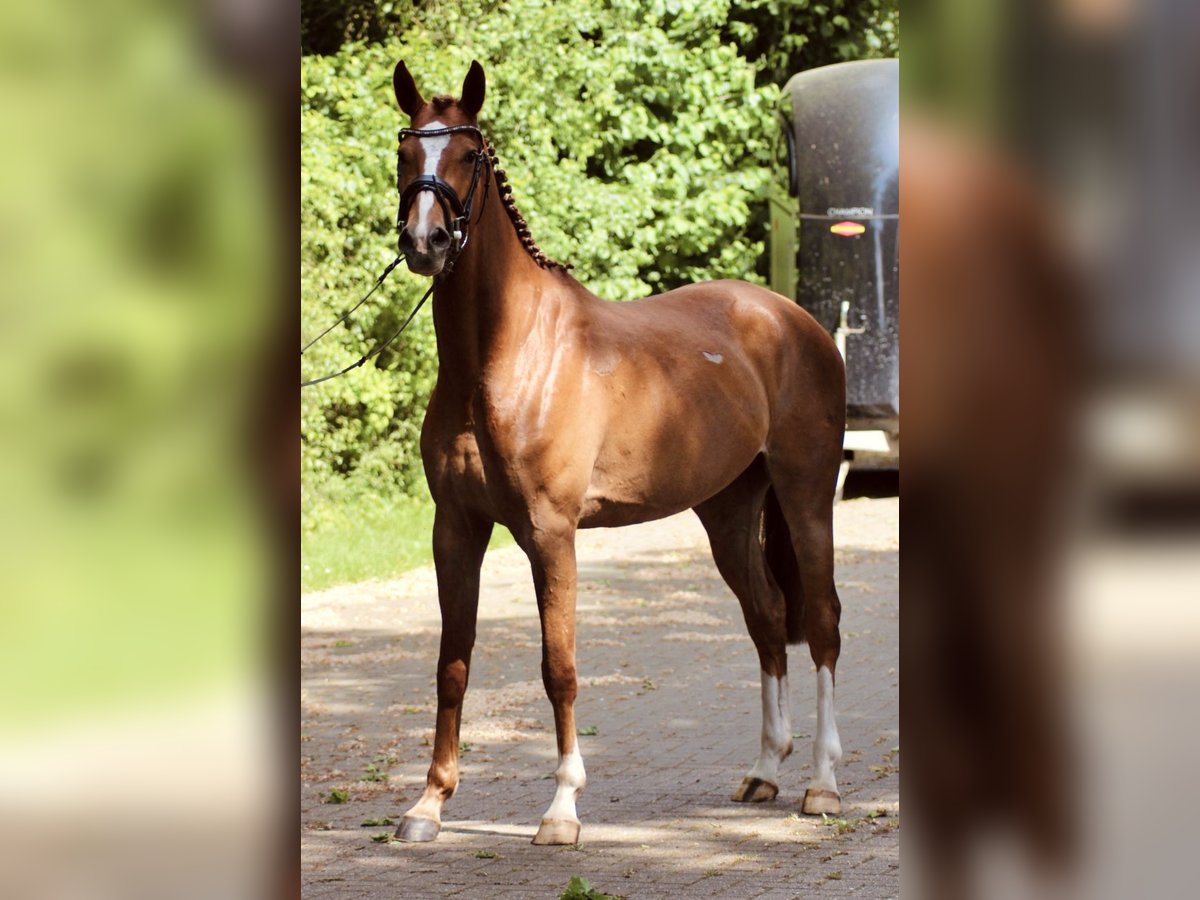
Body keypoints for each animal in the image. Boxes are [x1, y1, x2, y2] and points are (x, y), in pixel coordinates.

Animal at [391, 61, 844, 844]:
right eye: (405, 150)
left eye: (470, 155)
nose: (428, 241)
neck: (504, 357)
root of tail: (794, 320)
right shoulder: (455, 527)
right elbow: (453, 662)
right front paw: (429, 804)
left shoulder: (551, 532)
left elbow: (559, 667)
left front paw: (562, 808)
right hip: (729, 510)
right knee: (766, 616)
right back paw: (764, 770)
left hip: (806, 495)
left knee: (818, 622)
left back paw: (821, 783)